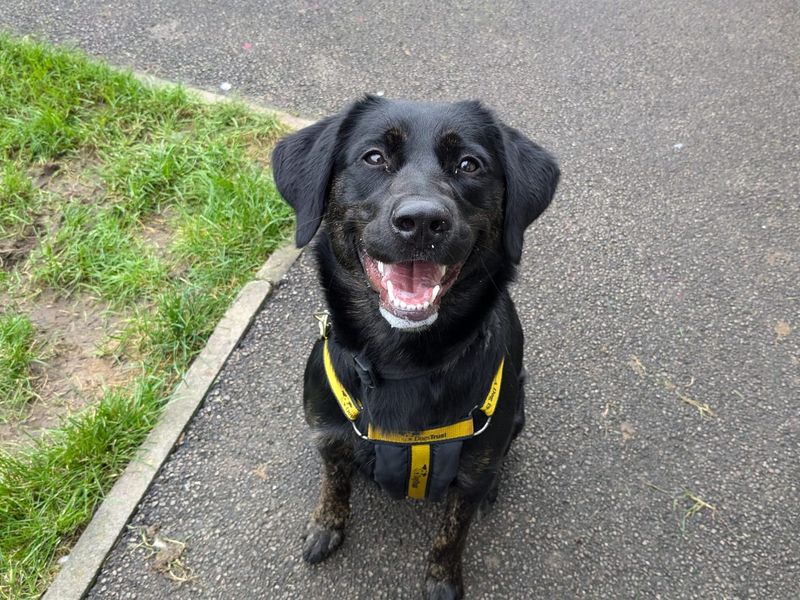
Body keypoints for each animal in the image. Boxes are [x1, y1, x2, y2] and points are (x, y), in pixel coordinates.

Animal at [272, 96, 560, 596]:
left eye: (469, 164)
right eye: (373, 157)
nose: (423, 221)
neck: (403, 362)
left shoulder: (472, 473)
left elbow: (453, 531)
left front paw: (442, 580)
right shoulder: (328, 435)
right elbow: (334, 483)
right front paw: (327, 524)